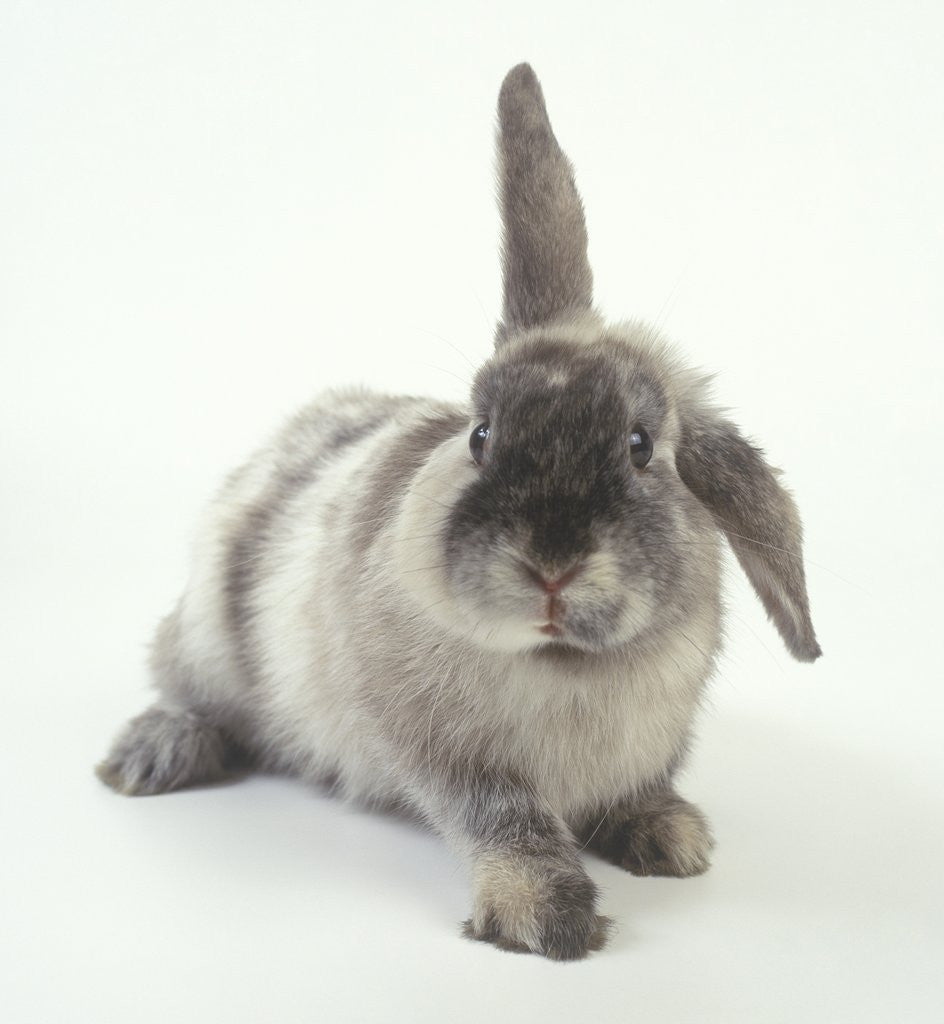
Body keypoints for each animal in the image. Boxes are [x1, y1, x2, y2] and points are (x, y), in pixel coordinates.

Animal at [95, 61, 814, 958]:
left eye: (642, 447)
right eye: (481, 434)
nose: (550, 567)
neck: (559, 663)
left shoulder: (652, 743)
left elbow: (642, 788)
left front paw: (674, 840)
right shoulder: (450, 755)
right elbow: (503, 820)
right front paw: (544, 918)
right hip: (204, 640)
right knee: (185, 692)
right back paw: (150, 758)